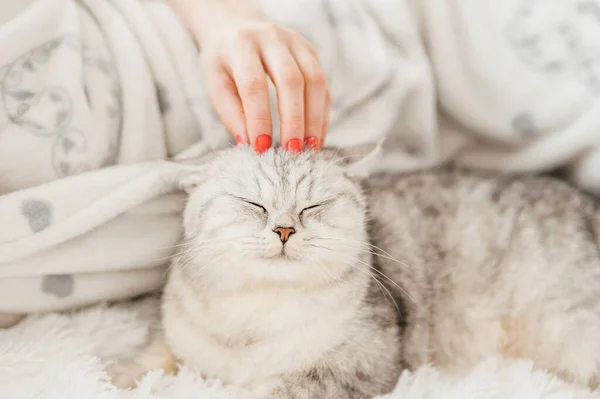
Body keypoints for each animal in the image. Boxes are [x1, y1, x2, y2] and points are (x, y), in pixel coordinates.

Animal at [106, 145, 600, 398]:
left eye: (313, 206)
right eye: (253, 204)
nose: (284, 229)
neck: (251, 318)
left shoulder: (362, 360)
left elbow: (277, 390)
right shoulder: (175, 336)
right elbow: (147, 359)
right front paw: (113, 377)